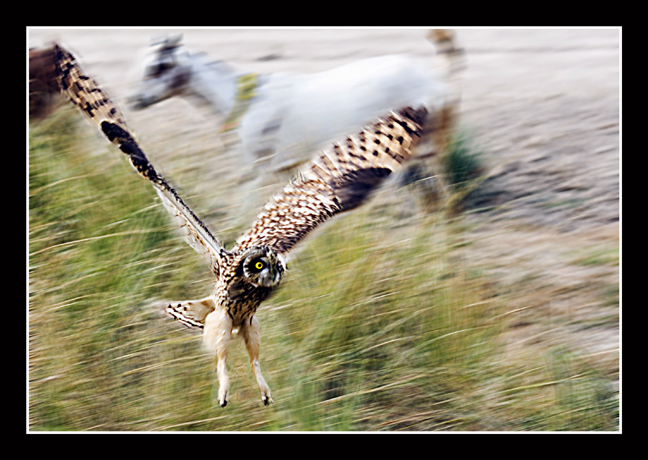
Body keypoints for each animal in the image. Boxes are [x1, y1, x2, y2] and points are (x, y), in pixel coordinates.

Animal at [126, 31, 464, 185]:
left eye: (159, 67)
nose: (133, 100)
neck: (243, 99)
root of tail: (434, 80)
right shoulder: (282, 169)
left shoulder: (259, 168)